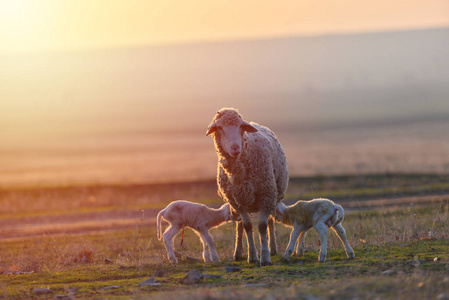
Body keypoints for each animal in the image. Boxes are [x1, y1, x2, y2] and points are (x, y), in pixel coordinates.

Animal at [206, 107, 288, 264]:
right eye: (219, 127)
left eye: (241, 126)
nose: (235, 147)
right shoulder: (238, 201)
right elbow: (247, 226)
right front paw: (252, 256)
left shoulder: (266, 195)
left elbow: (262, 226)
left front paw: (265, 257)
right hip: (237, 202)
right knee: (239, 225)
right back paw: (237, 253)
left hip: (272, 196)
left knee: (270, 221)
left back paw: (273, 249)